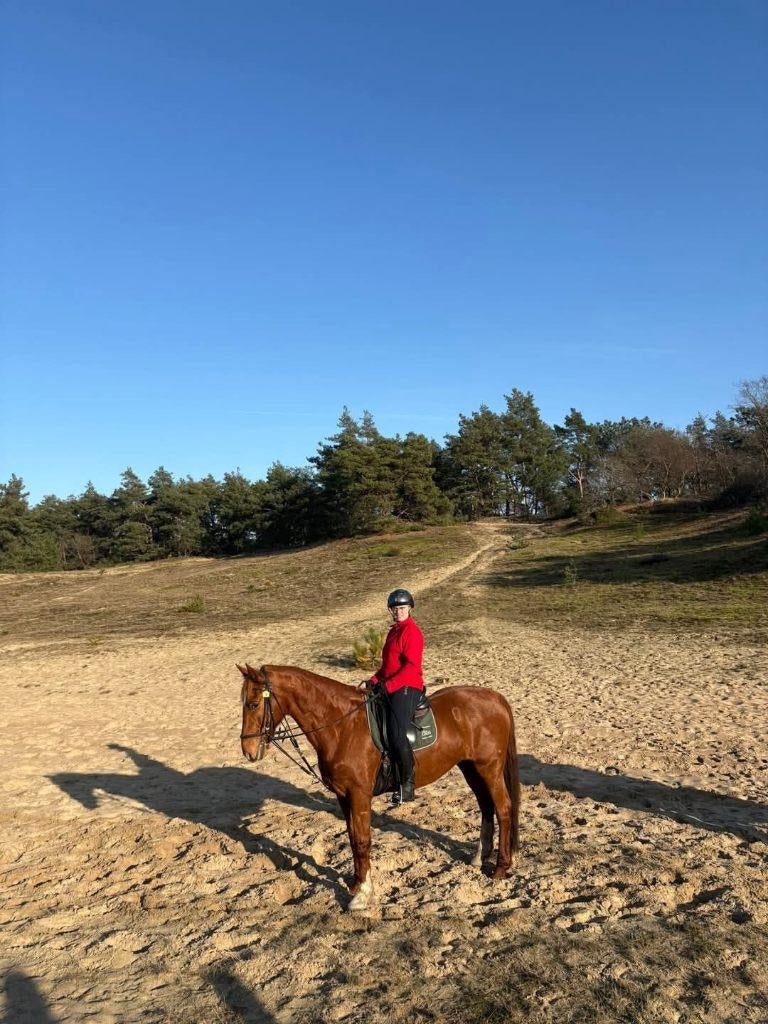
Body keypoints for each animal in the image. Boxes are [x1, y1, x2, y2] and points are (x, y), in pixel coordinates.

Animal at [237, 663, 521, 910]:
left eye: (253, 704)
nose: (248, 750)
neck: (342, 726)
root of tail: (495, 697)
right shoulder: (343, 796)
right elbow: (353, 839)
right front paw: (355, 883)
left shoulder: (359, 794)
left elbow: (363, 840)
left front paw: (362, 895)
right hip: (470, 768)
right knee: (486, 807)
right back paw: (480, 857)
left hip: (489, 769)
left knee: (503, 809)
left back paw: (501, 867)